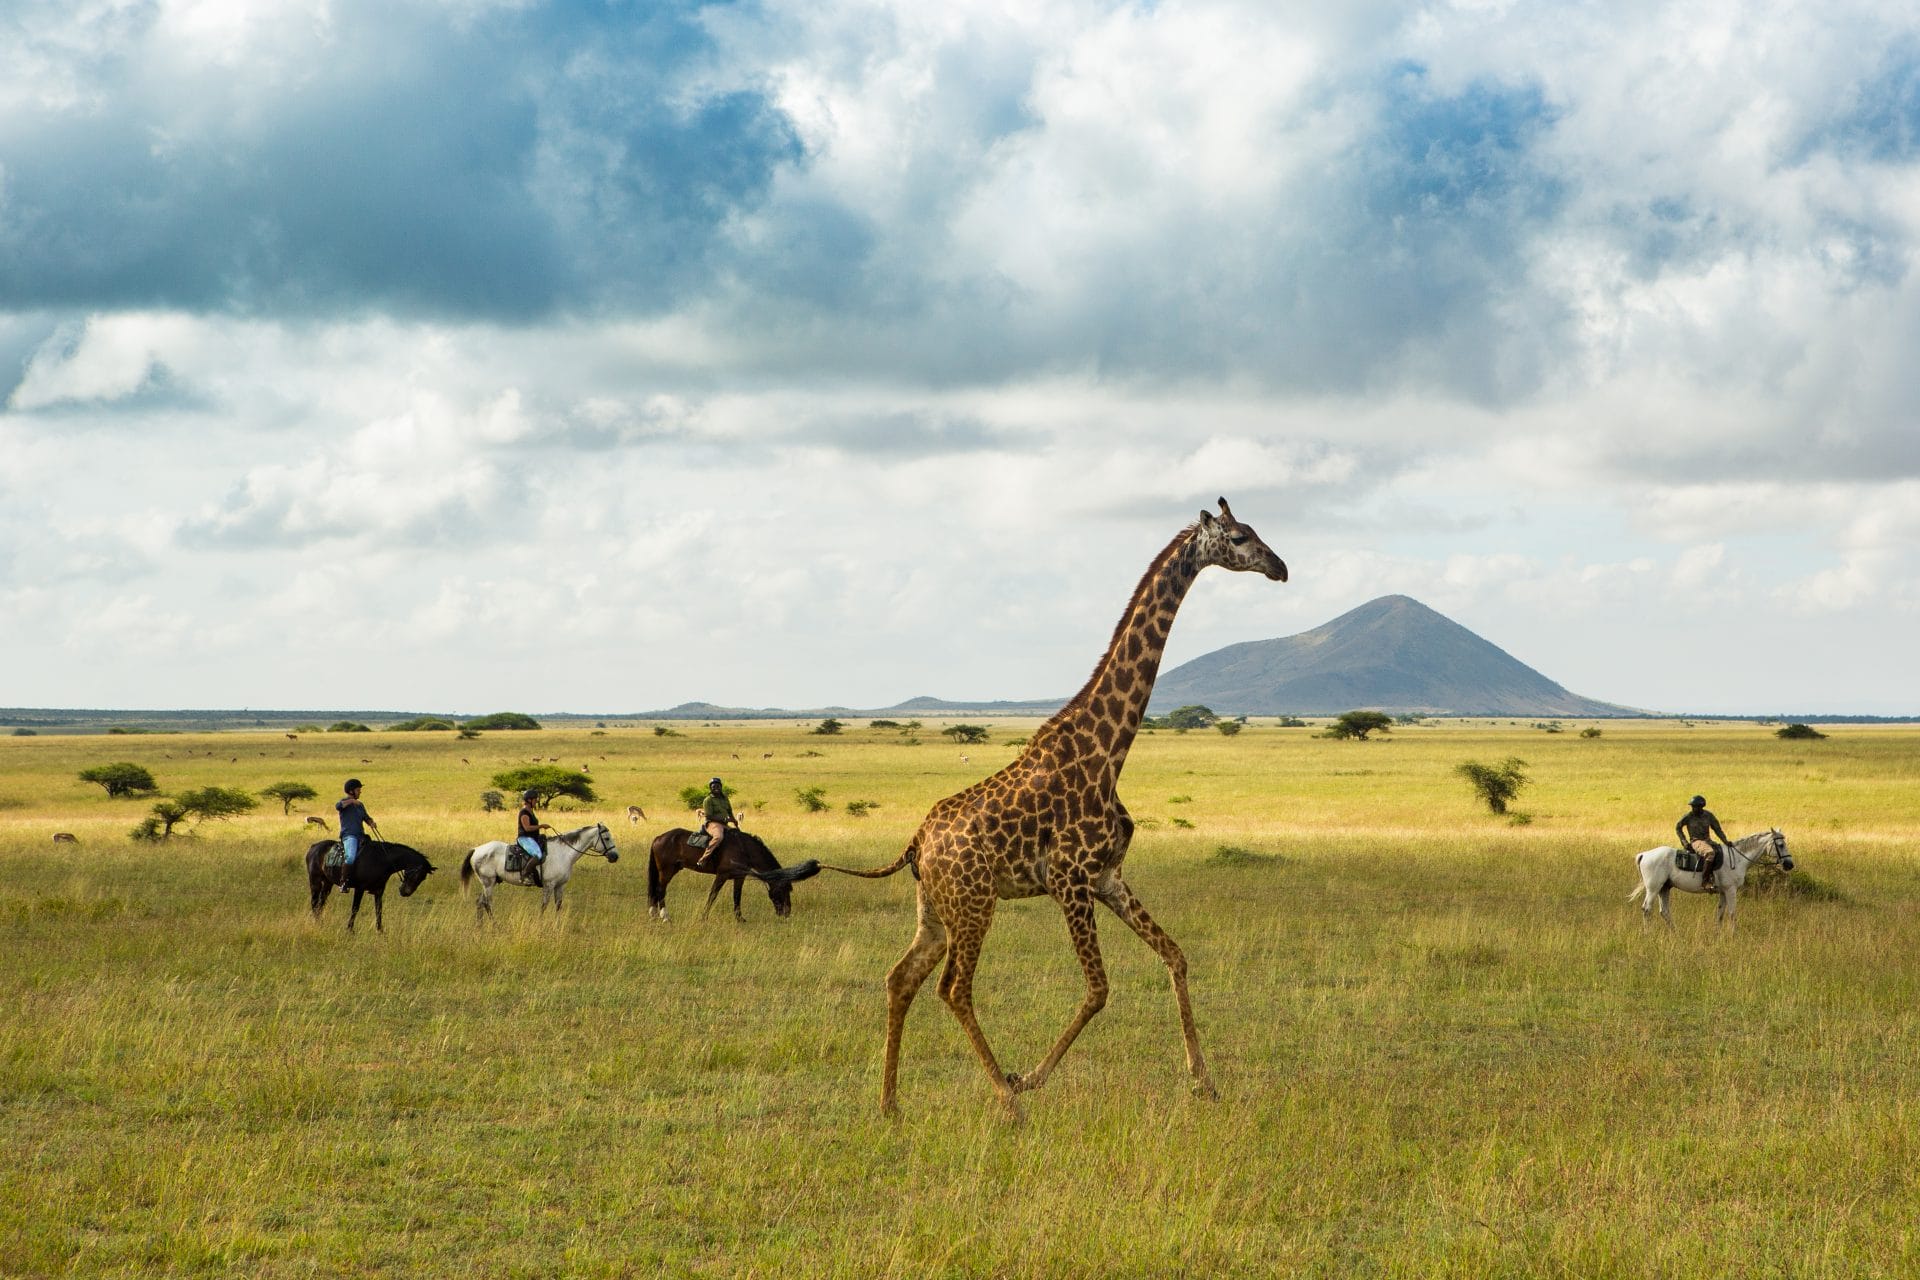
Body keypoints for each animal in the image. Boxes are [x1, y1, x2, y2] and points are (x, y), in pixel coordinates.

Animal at [305, 840, 437, 932]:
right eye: (416, 874)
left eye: (423, 878)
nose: (405, 892)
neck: (381, 860)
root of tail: (314, 847)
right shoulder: (359, 889)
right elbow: (355, 909)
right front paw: (350, 930)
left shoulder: (379, 891)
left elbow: (378, 910)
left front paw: (380, 931)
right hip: (315, 881)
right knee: (314, 902)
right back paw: (316, 922)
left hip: (328, 883)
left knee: (321, 903)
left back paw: (320, 922)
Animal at [460, 821, 618, 921]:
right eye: (606, 838)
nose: (615, 857)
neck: (563, 852)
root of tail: (476, 849)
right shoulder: (549, 885)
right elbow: (544, 906)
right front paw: (541, 924)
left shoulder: (560, 886)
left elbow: (558, 906)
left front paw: (557, 926)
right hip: (488, 883)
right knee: (487, 903)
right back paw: (495, 926)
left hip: (488, 883)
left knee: (480, 902)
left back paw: (480, 927)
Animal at [648, 832, 821, 921]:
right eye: (782, 890)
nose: (786, 912)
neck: (745, 849)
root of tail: (658, 838)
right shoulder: (721, 876)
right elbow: (713, 895)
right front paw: (704, 917)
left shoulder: (739, 877)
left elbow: (737, 896)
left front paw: (739, 918)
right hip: (667, 871)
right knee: (660, 890)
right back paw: (664, 916)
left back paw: (654, 914)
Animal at [825, 495, 1290, 1113]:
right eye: (1239, 538)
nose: (1280, 568)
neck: (1110, 750)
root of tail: (917, 842)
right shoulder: (1070, 879)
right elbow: (1098, 989)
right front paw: (1030, 1077)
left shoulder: (1108, 876)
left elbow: (1175, 955)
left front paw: (1205, 1081)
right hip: (975, 904)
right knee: (954, 989)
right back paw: (1008, 1098)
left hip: (935, 910)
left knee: (901, 979)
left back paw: (890, 1106)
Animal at [1628, 832, 1789, 932]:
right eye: (1781, 845)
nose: (1790, 864)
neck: (1737, 858)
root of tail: (1644, 854)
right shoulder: (1731, 890)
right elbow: (1732, 912)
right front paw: (1733, 934)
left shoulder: (1723, 892)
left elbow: (1720, 913)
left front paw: (1717, 933)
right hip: (1653, 889)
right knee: (1647, 909)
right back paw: (1647, 933)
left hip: (1664, 888)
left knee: (1664, 911)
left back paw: (1675, 933)